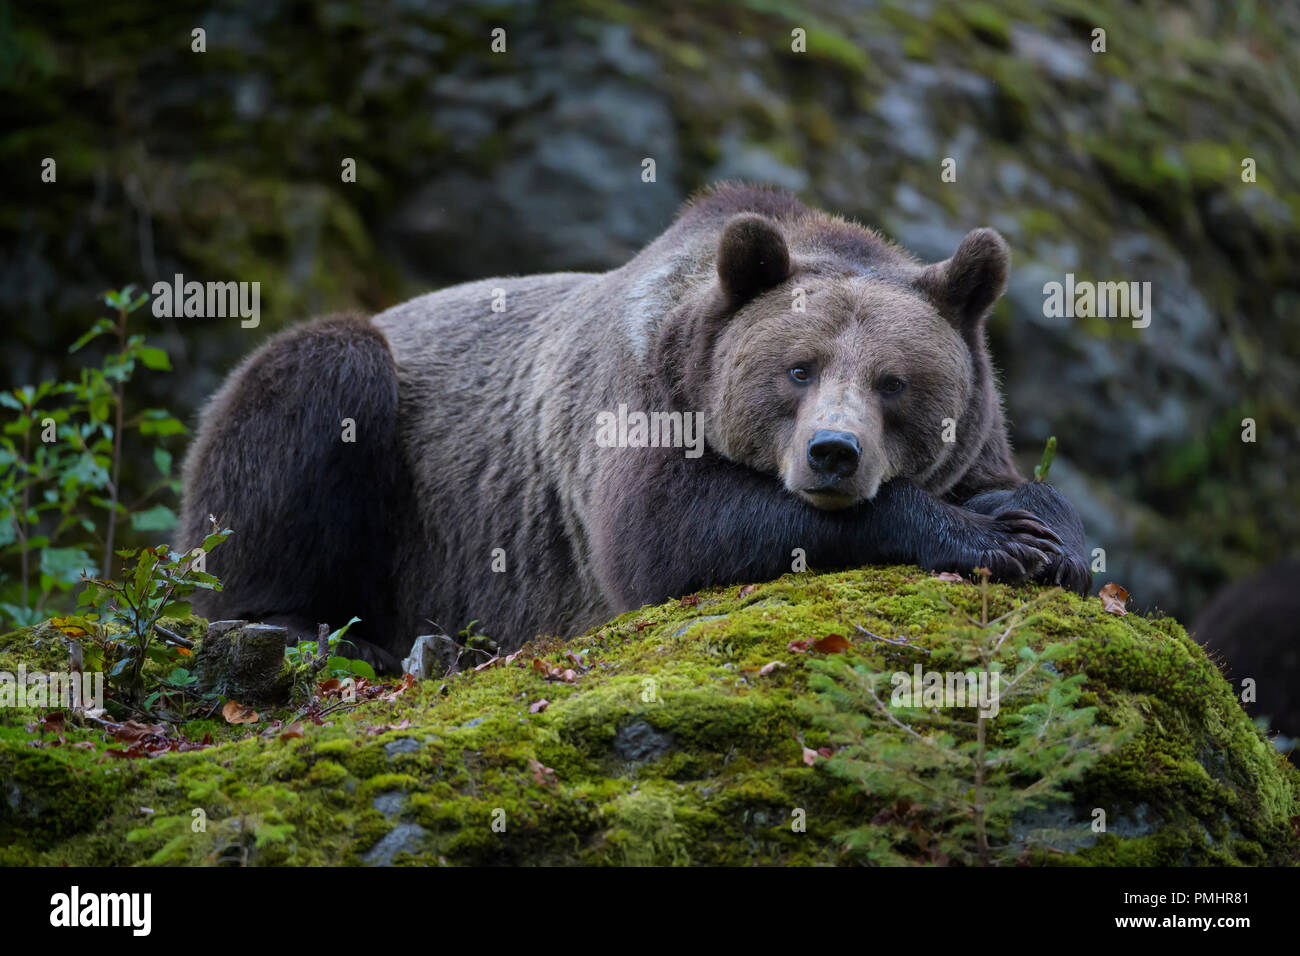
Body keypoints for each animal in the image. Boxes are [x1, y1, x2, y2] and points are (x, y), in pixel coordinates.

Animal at [177, 183, 1089, 670]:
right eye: (798, 369)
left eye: (893, 383)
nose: (834, 454)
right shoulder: (639, 396)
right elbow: (663, 531)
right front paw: (990, 540)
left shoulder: (980, 434)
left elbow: (1015, 483)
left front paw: (1050, 538)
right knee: (317, 391)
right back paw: (308, 624)